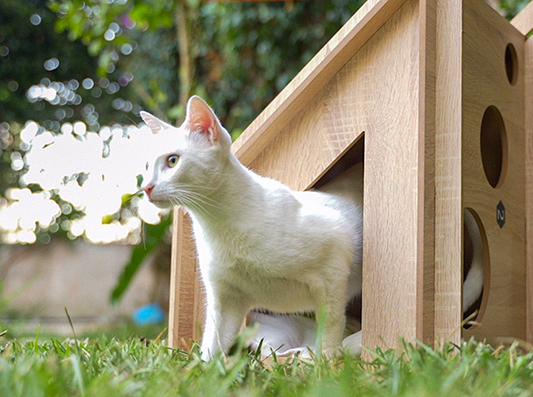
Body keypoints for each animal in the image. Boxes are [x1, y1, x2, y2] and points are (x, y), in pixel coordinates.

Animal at [139, 95, 484, 358]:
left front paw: (325, 365)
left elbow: (330, 327)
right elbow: (212, 346)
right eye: (146, 165)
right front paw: (203, 372)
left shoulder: (333, 260)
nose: (146, 187)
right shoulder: (225, 300)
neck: (218, 225)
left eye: (172, 161)